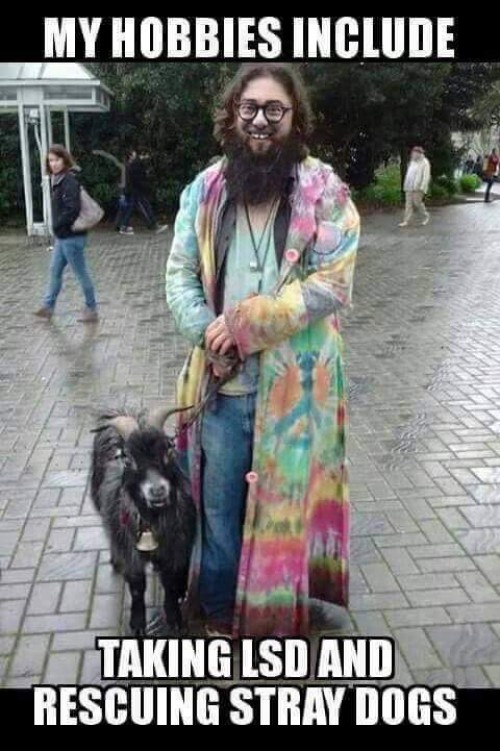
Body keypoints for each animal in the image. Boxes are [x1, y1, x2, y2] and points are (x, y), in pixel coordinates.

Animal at [90, 407, 196, 635]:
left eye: (168, 452)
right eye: (128, 460)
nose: (158, 490)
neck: (151, 520)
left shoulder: (175, 549)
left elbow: (170, 582)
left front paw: (174, 618)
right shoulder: (131, 552)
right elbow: (137, 586)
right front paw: (137, 623)